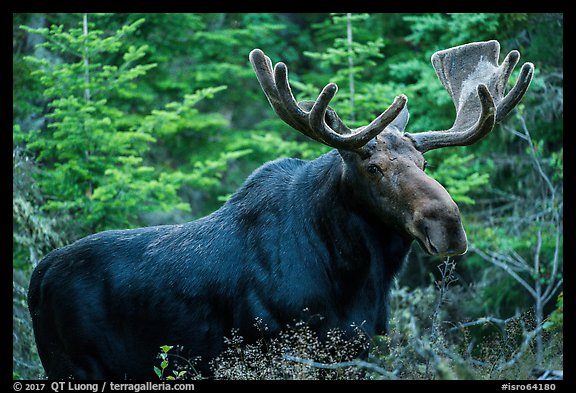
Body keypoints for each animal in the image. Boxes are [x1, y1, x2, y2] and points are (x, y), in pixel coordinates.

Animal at [25, 40, 532, 380]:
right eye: (372, 166)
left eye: (425, 163)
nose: (449, 226)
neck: (354, 278)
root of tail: (35, 280)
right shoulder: (274, 347)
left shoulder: (357, 349)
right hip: (74, 366)